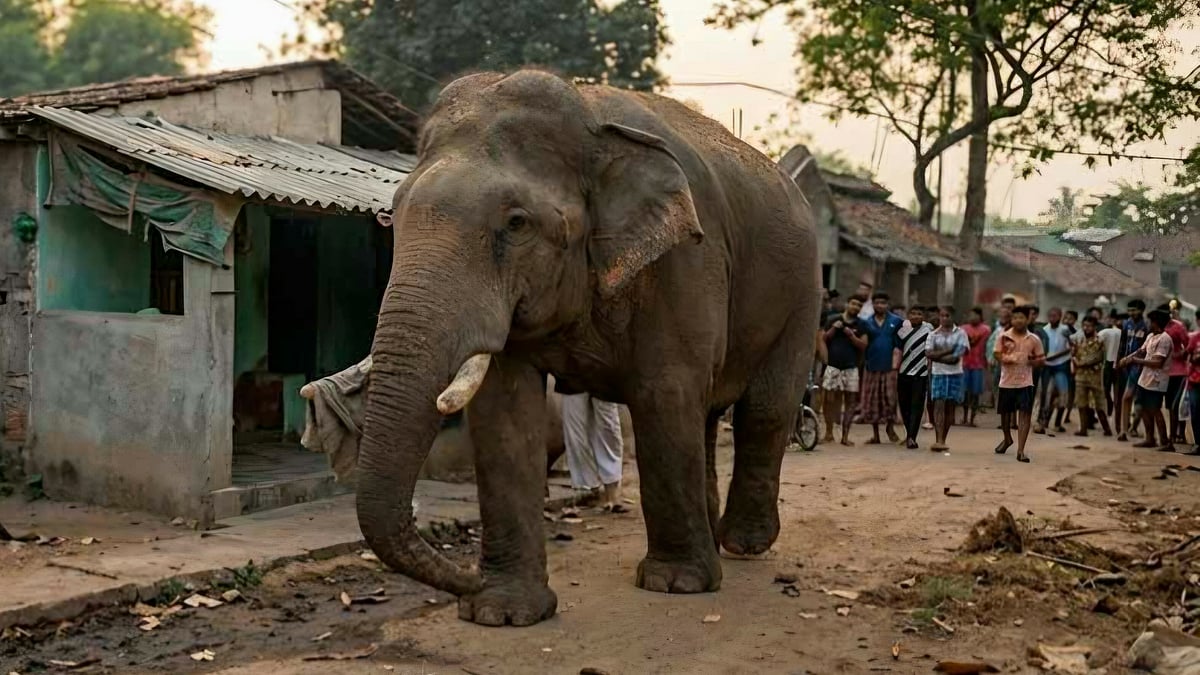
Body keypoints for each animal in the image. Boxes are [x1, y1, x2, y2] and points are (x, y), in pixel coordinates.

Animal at [361, 70, 819, 627]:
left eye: (517, 223)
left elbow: (665, 393)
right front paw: (502, 612)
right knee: (709, 415)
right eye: (393, 214)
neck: (590, 118)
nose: (466, 577)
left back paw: (743, 545)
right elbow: (503, 412)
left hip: (802, 291)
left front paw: (676, 585)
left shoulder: (688, 259)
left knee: (764, 409)